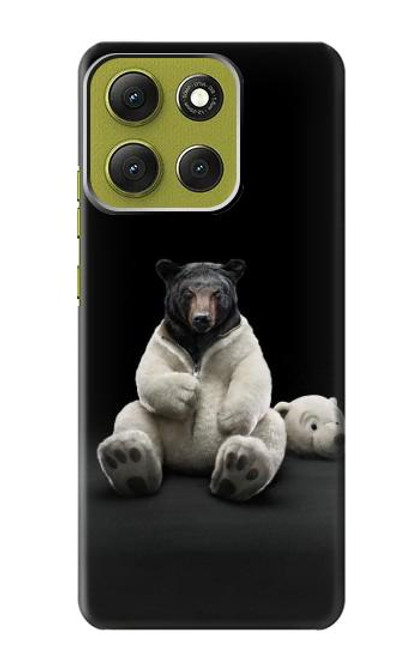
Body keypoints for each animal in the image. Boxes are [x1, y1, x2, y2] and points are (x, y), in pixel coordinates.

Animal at [97, 259, 287, 502]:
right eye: (188, 292)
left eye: (217, 292)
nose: (202, 318)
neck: (199, 338)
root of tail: (194, 464)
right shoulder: (163, 341)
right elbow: (150, 369)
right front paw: (187, 392)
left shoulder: (240, 341)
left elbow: (252, 369)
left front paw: (229, 418)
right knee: (133, 415)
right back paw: (128, 461)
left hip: (261, 427)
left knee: (271, 426)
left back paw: (241, 468)